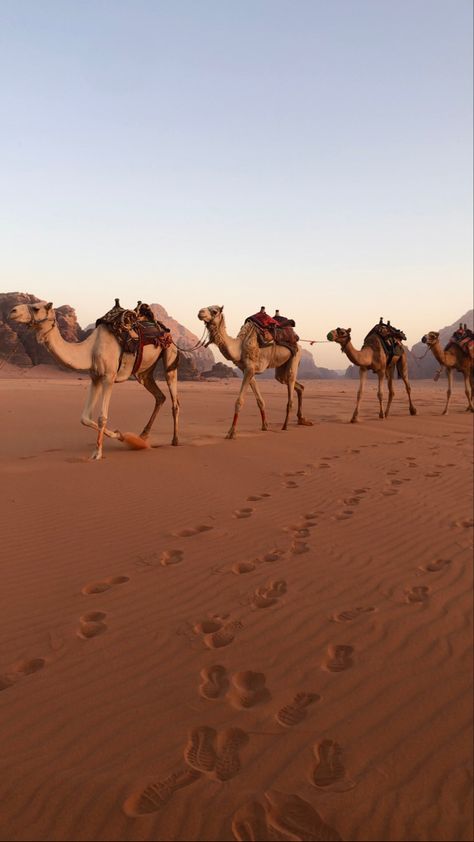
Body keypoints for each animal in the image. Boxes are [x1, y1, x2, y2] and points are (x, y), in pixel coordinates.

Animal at [9, 300, 180, 460]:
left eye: (36, 308)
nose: (13, 311)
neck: (90, 350)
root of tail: (165, 330)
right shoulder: (95, 377)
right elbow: (84, 418)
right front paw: (120, 435)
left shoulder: (109, 377)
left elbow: (102, 418)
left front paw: (98, 453)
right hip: (144, 373)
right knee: (159, 396)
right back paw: (143, 437)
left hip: (170, 357)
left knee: (174, 401)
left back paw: (175, 440)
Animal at [196, 308, 312, 440]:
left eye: (215, 311)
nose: (200, 312)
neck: (239, 346)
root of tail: (297, 341)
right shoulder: (246, 369)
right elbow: (260, 401)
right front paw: (265, 426)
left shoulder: (250, 369)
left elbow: (239, 401)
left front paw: (231, 432)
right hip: (282, 366)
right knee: (293, 384)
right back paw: (302, 419)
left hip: (296, 355)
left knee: (291, 380)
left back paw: (285, 425)